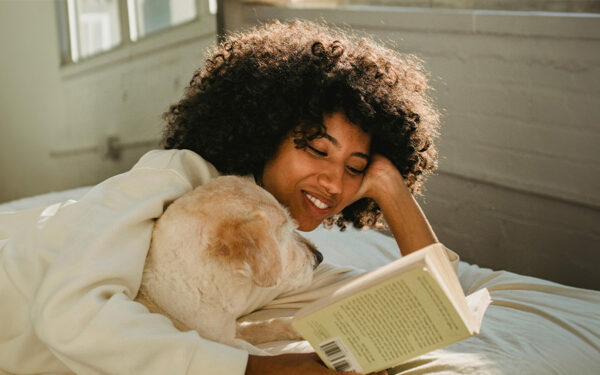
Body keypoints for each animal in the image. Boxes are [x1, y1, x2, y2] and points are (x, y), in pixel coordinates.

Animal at [135, 176, 324, 352]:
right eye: (284, 232)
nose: (319, 257)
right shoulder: (226, 341)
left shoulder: (233, 329)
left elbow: (267, 324)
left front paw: (298, 326)